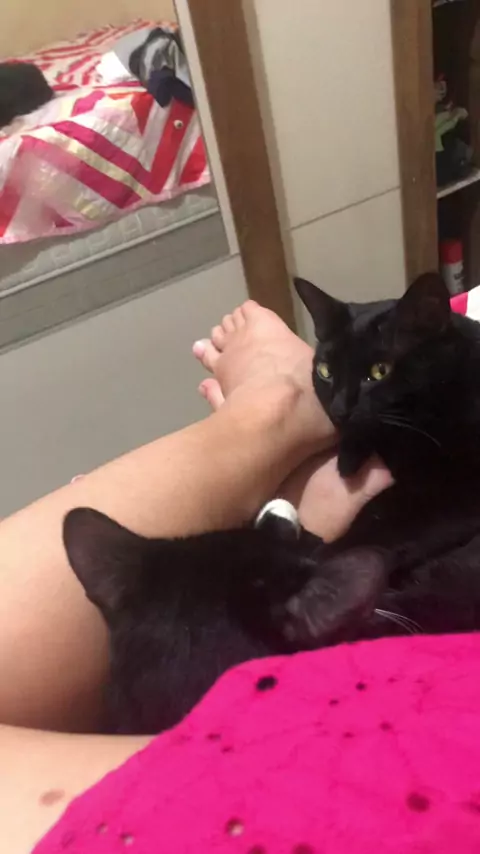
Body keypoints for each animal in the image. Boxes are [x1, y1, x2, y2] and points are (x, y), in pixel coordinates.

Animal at [64, 272, 480, 734]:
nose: (340, 408)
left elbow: (375, 519)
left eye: (380, 371)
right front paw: (344, 464)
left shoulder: (455, 489)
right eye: (325, 371)